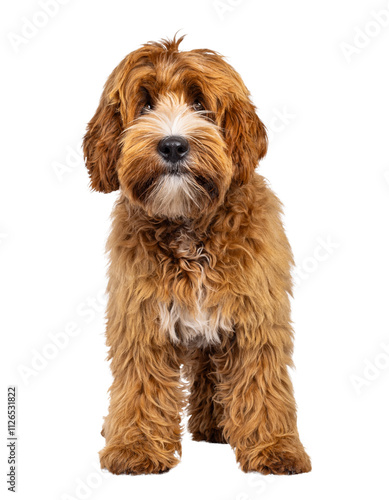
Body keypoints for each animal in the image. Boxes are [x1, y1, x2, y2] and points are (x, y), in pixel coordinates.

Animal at [83, 36, 310, 476]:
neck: (189, 225)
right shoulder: (141, 316)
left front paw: (275, 447)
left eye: (201, 103)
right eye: (145, 104)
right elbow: (140, 383)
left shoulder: (257, 317)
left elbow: (262, 381)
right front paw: (136, 447)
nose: (173, 145)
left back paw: (217, 425)